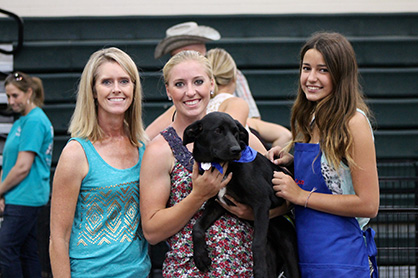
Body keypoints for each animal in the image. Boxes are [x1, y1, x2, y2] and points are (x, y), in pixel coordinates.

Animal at [185, 112, 298, 278]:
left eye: (236, 132)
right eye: (218, 131)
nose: (236, 150)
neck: (224, 167)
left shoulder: (261, 202)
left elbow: (257, 242)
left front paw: (259, 270)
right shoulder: (218, 205)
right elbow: (197, 227)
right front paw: (200, 256)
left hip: (290, 248)